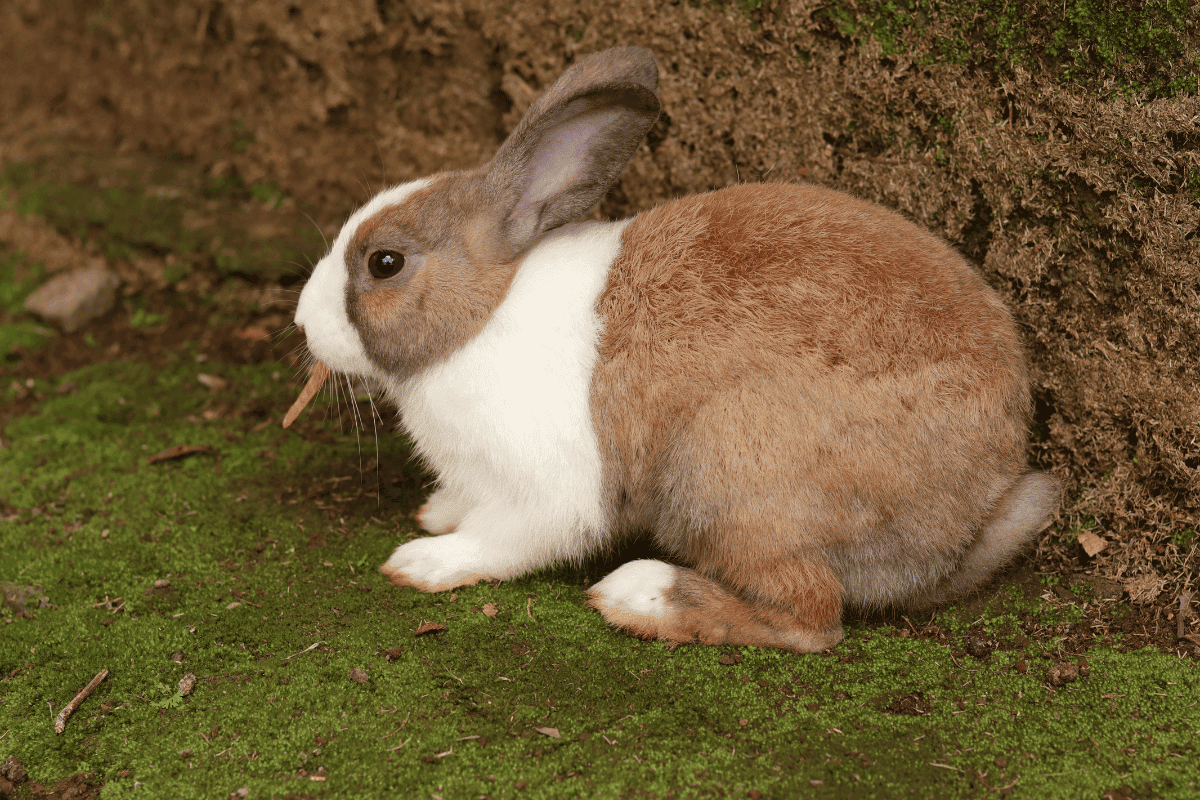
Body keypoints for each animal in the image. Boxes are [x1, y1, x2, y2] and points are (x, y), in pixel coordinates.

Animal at [290, 46, 1060, 653]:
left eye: (385, 263)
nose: (302, 322)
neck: (485, 313)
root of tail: (974, 514)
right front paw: (437, 512)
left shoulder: (551, 492)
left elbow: (504, 538)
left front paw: (423, 560)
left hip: (729, 469)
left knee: (812, 617)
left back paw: (641, 596)